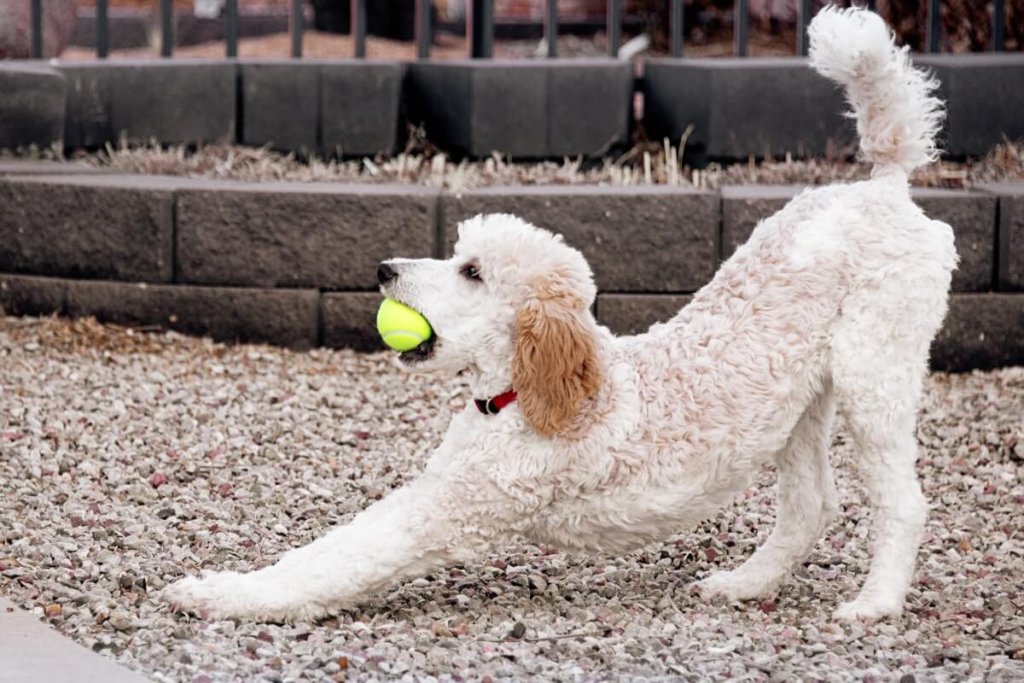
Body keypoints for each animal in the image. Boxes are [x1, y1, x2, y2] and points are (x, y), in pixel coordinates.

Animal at [163, 6, 954, 626]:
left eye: (472, 272)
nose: (384, 270)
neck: (523, 397)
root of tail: (882, 187)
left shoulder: (443, 511)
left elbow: (329, 565)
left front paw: (217, 594)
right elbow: (325, 548)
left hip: (875, 375)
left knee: (904, 502)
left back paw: (876, 603)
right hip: (803, 403)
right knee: (811, 504)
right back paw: (746, 583)